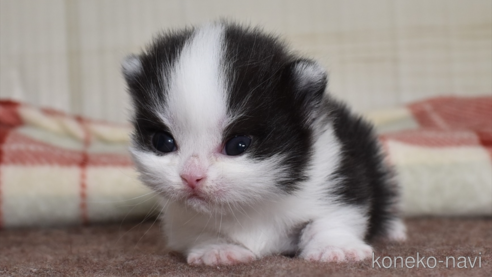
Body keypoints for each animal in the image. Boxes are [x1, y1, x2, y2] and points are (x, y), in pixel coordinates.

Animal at [121, 22, 406, 266]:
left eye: (238, 145)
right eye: (163, 142)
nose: (192, 177)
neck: (251, 203)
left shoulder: (334, 172)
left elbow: (334, 215)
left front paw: (334, 247)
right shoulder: (181, 216)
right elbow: (196, 230)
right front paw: (217, 249)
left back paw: (393, 229)